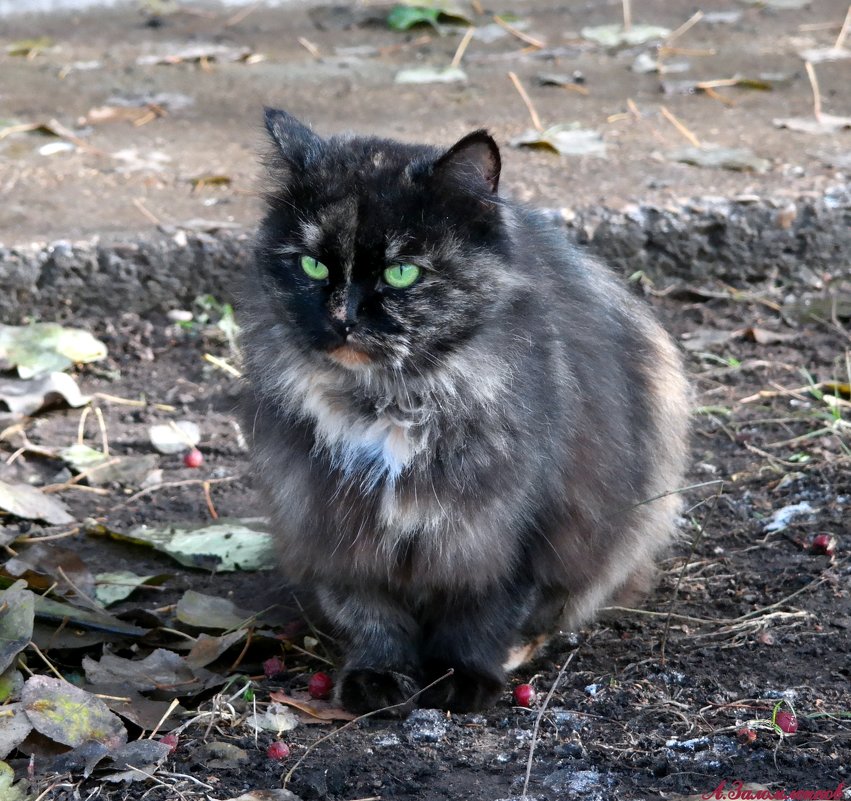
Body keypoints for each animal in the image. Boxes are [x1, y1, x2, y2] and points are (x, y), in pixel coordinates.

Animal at [236, 108, 688, 712]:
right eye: (311, 265)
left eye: (401, 272)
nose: (342, 318)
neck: (390, 402)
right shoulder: (330, 521)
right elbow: (370, 616)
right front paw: (377, 678)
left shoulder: (514, 527)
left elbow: (482, 615)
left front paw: (461, 678)